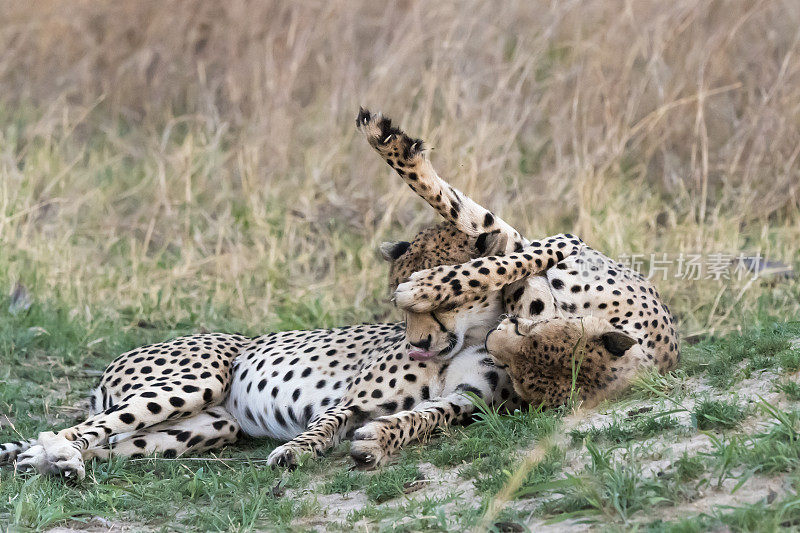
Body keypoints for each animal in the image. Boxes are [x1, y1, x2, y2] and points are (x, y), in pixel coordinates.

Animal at [360, 108, 680, 408]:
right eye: (528, 331)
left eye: (514, 370)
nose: (493, 337)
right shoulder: (559, 243)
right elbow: (468, 218)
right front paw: (389, 141)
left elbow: (492, 263)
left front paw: (423, 289)